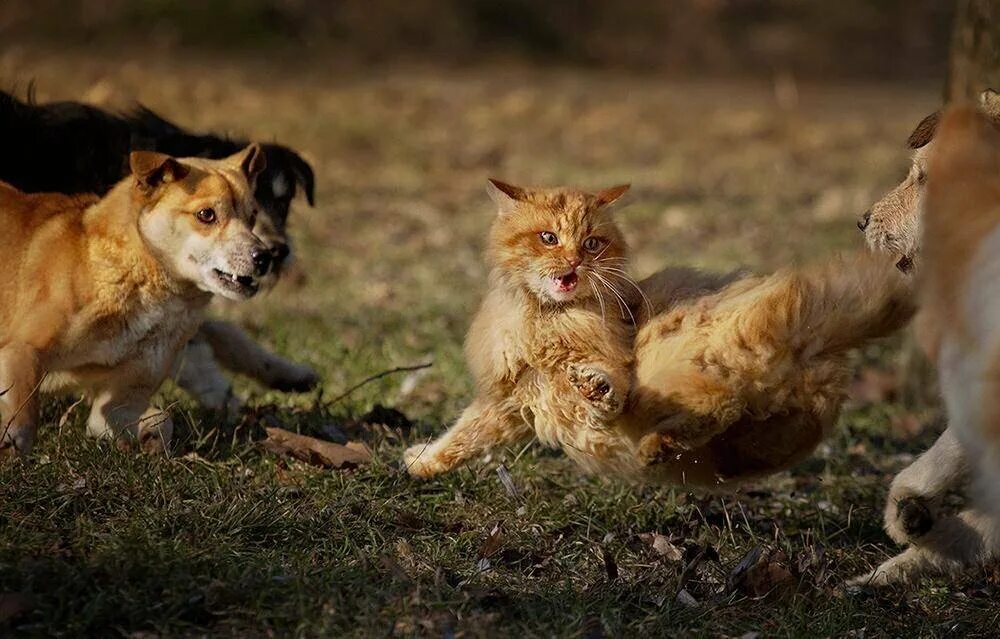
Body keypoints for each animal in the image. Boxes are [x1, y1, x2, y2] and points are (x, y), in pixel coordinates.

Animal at [0, 146, 268, 456]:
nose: (265, 257)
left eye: (252, 216)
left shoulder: (121, 399)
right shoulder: (20, 350)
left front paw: (147, 443)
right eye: (206, 215)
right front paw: (13, 446)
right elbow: (23, 416)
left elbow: (161, 421)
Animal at [404, 179, 916, 484]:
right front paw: (421, 463)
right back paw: (662, 447)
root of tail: (807, 339)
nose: (574, 262)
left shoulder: (611, 367)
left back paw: (653, 445)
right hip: (763, 435)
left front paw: (594, 390)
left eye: (592, 243)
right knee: (726, 416)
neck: (547, 321)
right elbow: (464, 436)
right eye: (548, 239)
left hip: (687, 364)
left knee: (716, 404)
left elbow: (601, 396)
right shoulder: (511, 400)